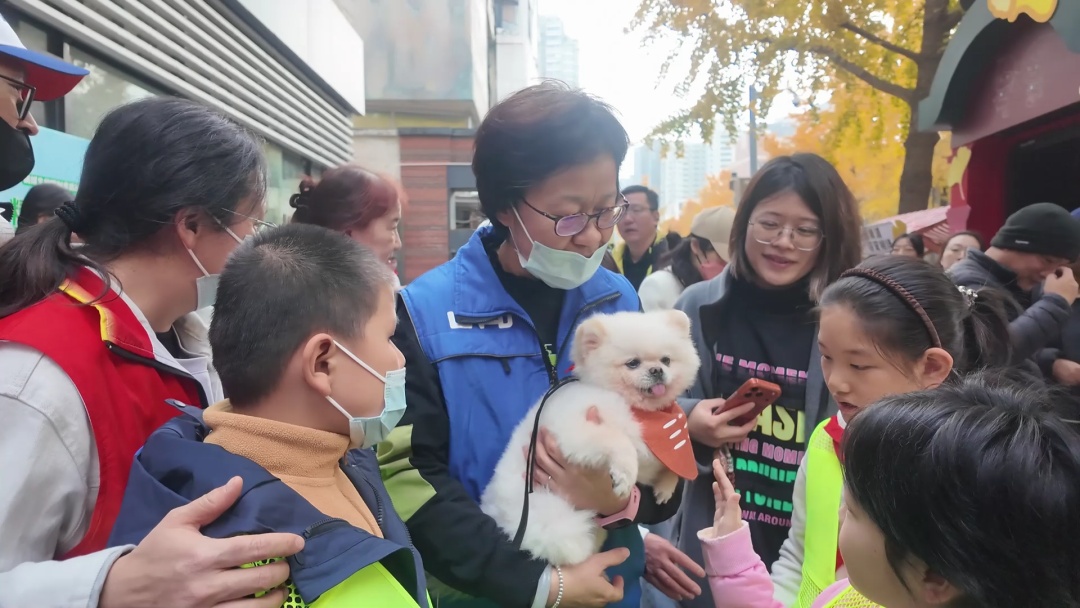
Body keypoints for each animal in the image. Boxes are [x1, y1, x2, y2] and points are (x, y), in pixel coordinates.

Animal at [479, 309, 701, 565]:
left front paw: (666, 487)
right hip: (548, 514)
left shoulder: (654, 456)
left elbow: (674, 464)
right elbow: (618, 440)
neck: (638, 410)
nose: (657, 371)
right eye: (632, 363)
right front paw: (625, 475)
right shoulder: (573, 431)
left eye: (666, 360)